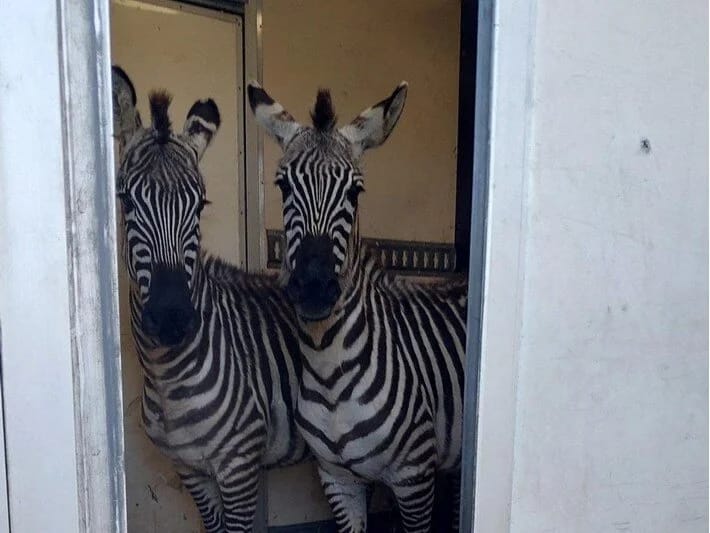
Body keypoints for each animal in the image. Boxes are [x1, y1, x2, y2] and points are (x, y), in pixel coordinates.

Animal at [112, 66, 309, 532]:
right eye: (125, 198)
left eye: (200, 205)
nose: (172, 318)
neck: (166, 379)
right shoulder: (191, 471)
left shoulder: (238, 468)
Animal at [248, 81, 467, 532]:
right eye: (282, 186)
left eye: (354, 192)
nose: (314, 289)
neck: (330, 373)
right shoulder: (337, 479)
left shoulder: (414, 479)